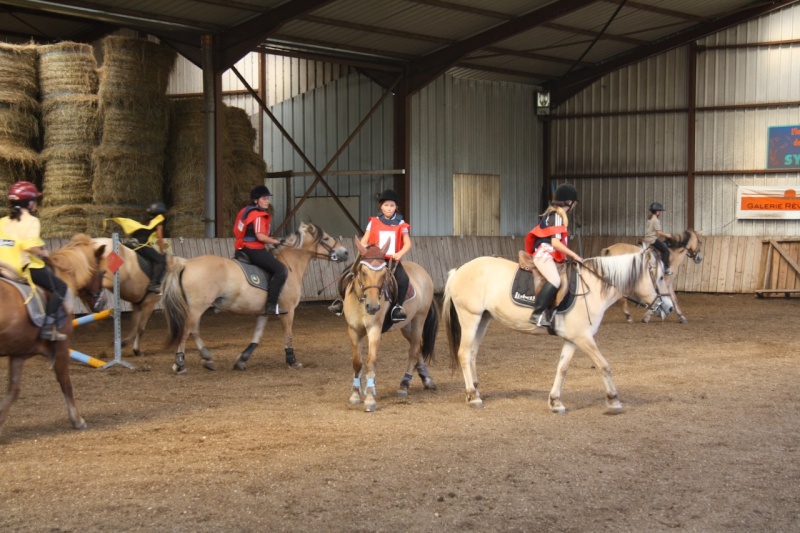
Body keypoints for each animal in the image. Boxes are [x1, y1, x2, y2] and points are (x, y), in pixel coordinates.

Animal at [0, 234, 108, 436]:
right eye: (104, 272)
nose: (103, 302)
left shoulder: (19, 353)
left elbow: (13, 390)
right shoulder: (61, 349)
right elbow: (66, 383)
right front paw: (77, 420)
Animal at [162, 224, 346, 374]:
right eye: (326, 238)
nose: (345, 252)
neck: (290, 265)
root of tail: (186, 263)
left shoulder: (264, 312)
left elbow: (257, 337)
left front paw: (242, 360)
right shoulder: (288, 311)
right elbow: (288, 335)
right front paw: (292, 361)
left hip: (197, 307)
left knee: (193, 330)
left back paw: (207, 358)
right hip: (197, 307)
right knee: (187, 329)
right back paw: (179, 363)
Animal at [340, 240, 438, 412]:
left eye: (383, 274)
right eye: (363, 271)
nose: (373, 307)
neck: (361, 303)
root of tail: (423, 272)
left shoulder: (374, 330)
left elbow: (371, 362)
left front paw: (370, 398)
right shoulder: (353, 330)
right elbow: (357, 362)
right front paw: (355, 395)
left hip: (419, 318)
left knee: (413, 350)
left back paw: (404, 384)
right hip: (406, 326)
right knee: (417, 347)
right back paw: (426, 380)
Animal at [440, 247, 672, 414]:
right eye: (660, 277)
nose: (669, 308)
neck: (593, 288)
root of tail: (459, 270)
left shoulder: (573, 339)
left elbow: (562, 369)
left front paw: (555, 402)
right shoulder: (584, 337)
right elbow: (603, 365)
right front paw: (613, 400)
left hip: (483, 319)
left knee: (472, 354)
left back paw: (474, 391)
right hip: (470, 317)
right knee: (464, 354)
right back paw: (473, 397)